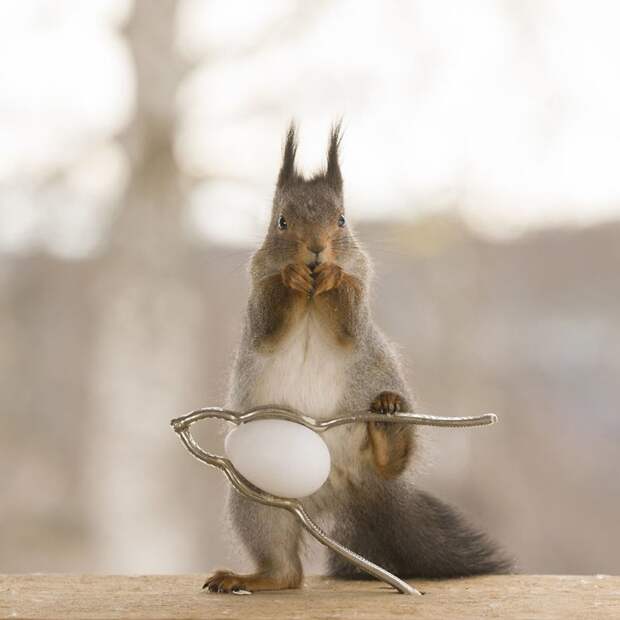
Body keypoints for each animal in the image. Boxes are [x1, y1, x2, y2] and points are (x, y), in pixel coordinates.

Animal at [206, 123, 512, 592]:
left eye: (342, 220)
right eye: (281, 221)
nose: (316, 250)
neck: (311, 297)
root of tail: (345, 487)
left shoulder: (360, 290)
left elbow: (350, 318)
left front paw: (334, 274)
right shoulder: (257, 298)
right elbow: (269, 318)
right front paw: (291, 275)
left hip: (379, 408)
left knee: (392, 462)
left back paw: (387, 427)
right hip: (258, 500)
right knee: (287, 571)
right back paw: (255, 578)